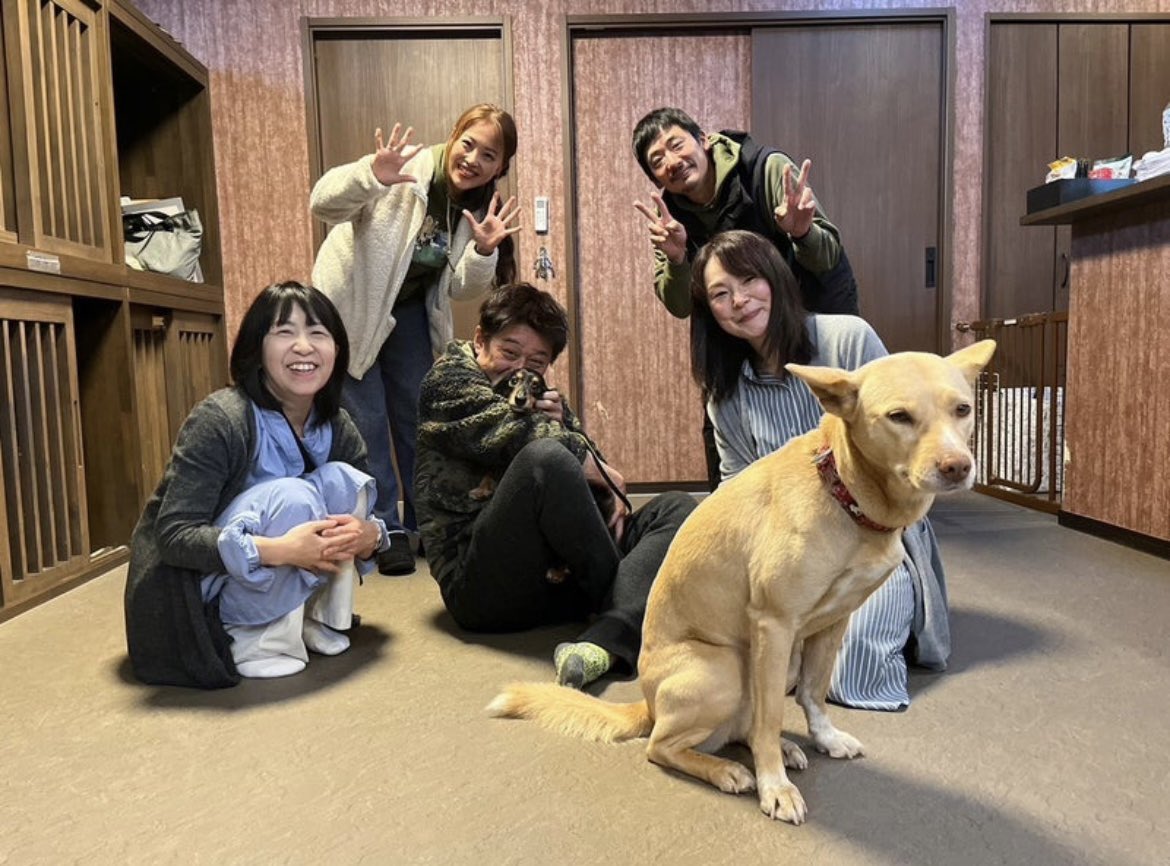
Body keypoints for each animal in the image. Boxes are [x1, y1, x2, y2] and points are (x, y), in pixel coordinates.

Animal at [488, 341, 996, 824]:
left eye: (962, 409)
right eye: (898, 417)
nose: (957, 466)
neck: (843, 492)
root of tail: (648, 703)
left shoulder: (833, 625)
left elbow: (814, 694)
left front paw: (824, 739)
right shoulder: (774, 624)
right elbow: (770, 717)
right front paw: (774, 787)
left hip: (777, 662)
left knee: (737, 730)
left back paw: (778, 751)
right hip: (728, 669)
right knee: (662, 747)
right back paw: (728, 770)